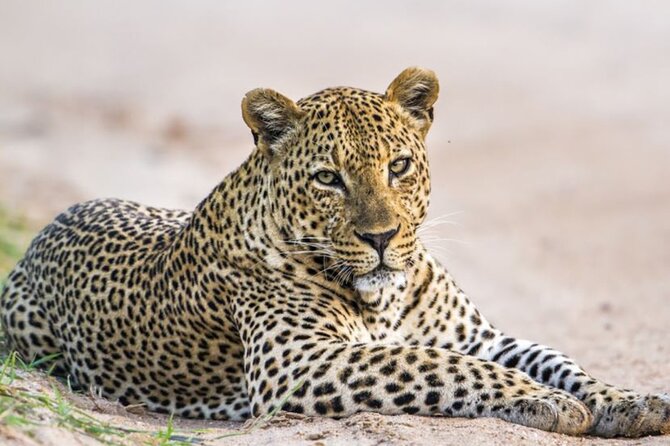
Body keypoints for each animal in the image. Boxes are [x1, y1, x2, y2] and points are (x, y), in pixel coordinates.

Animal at [2, 67, 669, 438]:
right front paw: (544, 400)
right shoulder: (299, 361)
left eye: (398, 166)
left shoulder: (478, 336)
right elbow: (436, 364)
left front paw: (629, 401)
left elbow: (557, 360)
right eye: (328, 179)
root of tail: (45, 227)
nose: (380, 238)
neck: (386, 298)